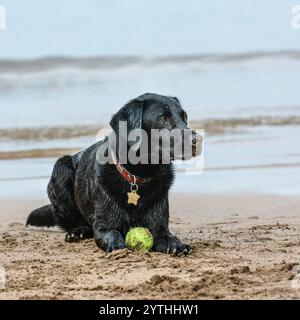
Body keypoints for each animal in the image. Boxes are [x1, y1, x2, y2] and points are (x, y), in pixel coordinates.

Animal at [27, 93, 202, 255]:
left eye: (184, 117)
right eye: (163, 119)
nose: (198, 139)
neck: (138, 175)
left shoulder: (159, 225)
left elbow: (166, 235)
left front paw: (177, 244)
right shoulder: (104, 226)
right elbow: (112, 233)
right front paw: (117, 248)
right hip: (61, 169)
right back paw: (77, 232)